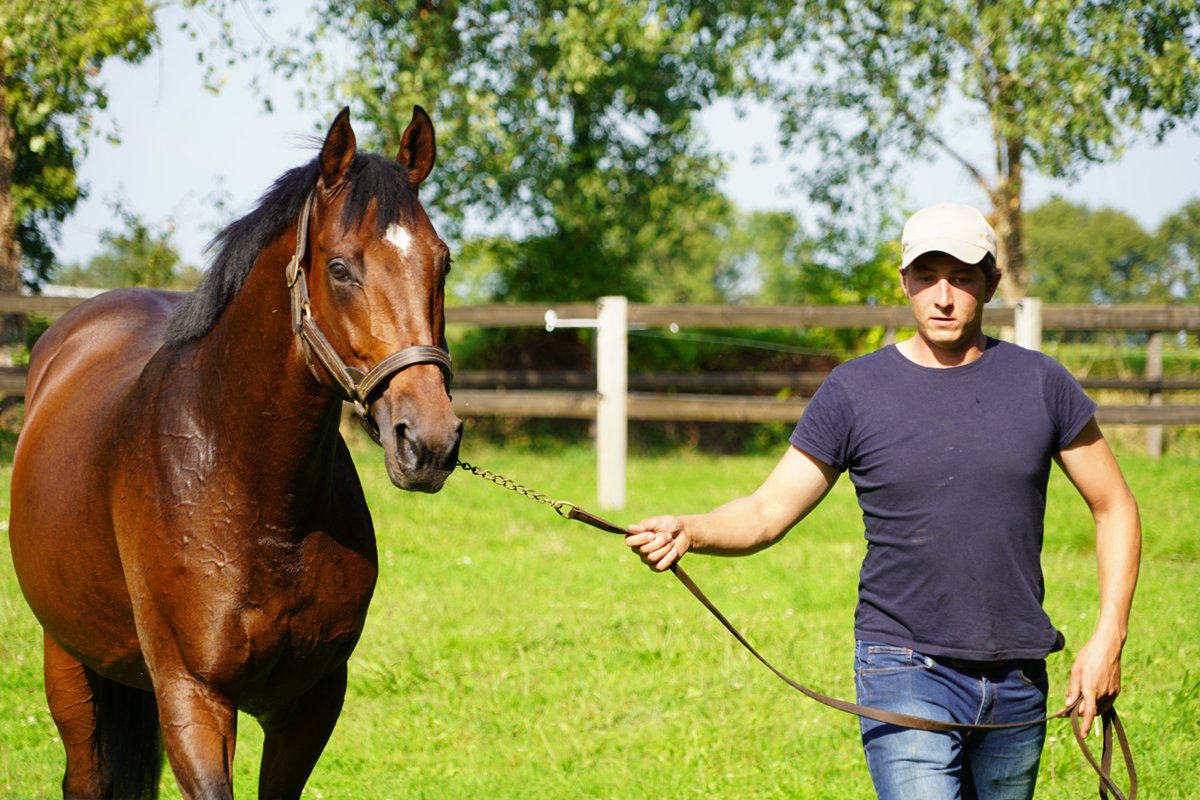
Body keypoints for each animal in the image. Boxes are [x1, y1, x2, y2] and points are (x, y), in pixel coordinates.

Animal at [8, 106, 463, 799]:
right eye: (340, 268)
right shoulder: (193, 697)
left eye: (443, 264)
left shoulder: (311, 699)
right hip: (67, 657)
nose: (430, 441)